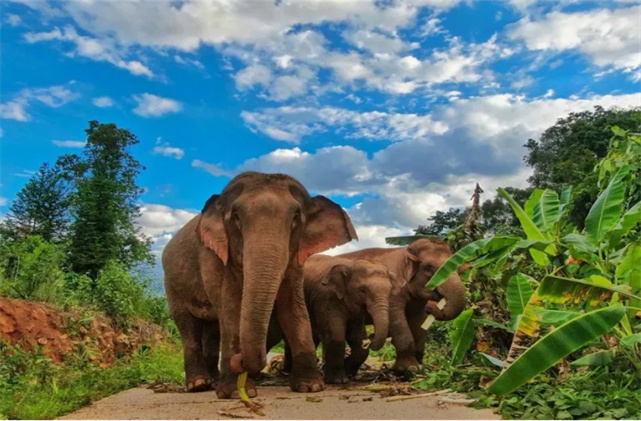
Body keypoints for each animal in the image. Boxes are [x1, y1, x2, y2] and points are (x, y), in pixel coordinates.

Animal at [162, 172, 357, 398]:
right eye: (236, 216)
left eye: (296, 217)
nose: (240, 361)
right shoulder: (213, 256)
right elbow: (230, 308)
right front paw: (235, 393)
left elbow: (293, 306)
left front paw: (311, 387)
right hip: (172, 285)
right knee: (188, 326)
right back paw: (199, 385)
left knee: (212, 329)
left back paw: (212, 382)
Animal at [339, 238, 466, 373]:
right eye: (428, 268)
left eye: (458, 266)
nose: (431, 308)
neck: (405, 252)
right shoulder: (391, 294)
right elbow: (397, 320)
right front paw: (408, 369)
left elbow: (419, 325)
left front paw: (419, 367)